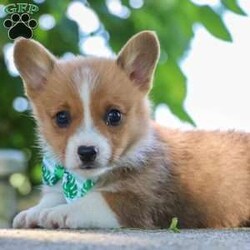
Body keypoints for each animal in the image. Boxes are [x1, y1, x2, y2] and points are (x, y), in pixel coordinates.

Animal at [12, 30, 250, 229]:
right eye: (62, 117)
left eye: (114, 115)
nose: (87, 152)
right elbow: (52, 197)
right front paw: (33, 212)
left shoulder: (137, 201)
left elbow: (95, 199)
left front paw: (60, 213)